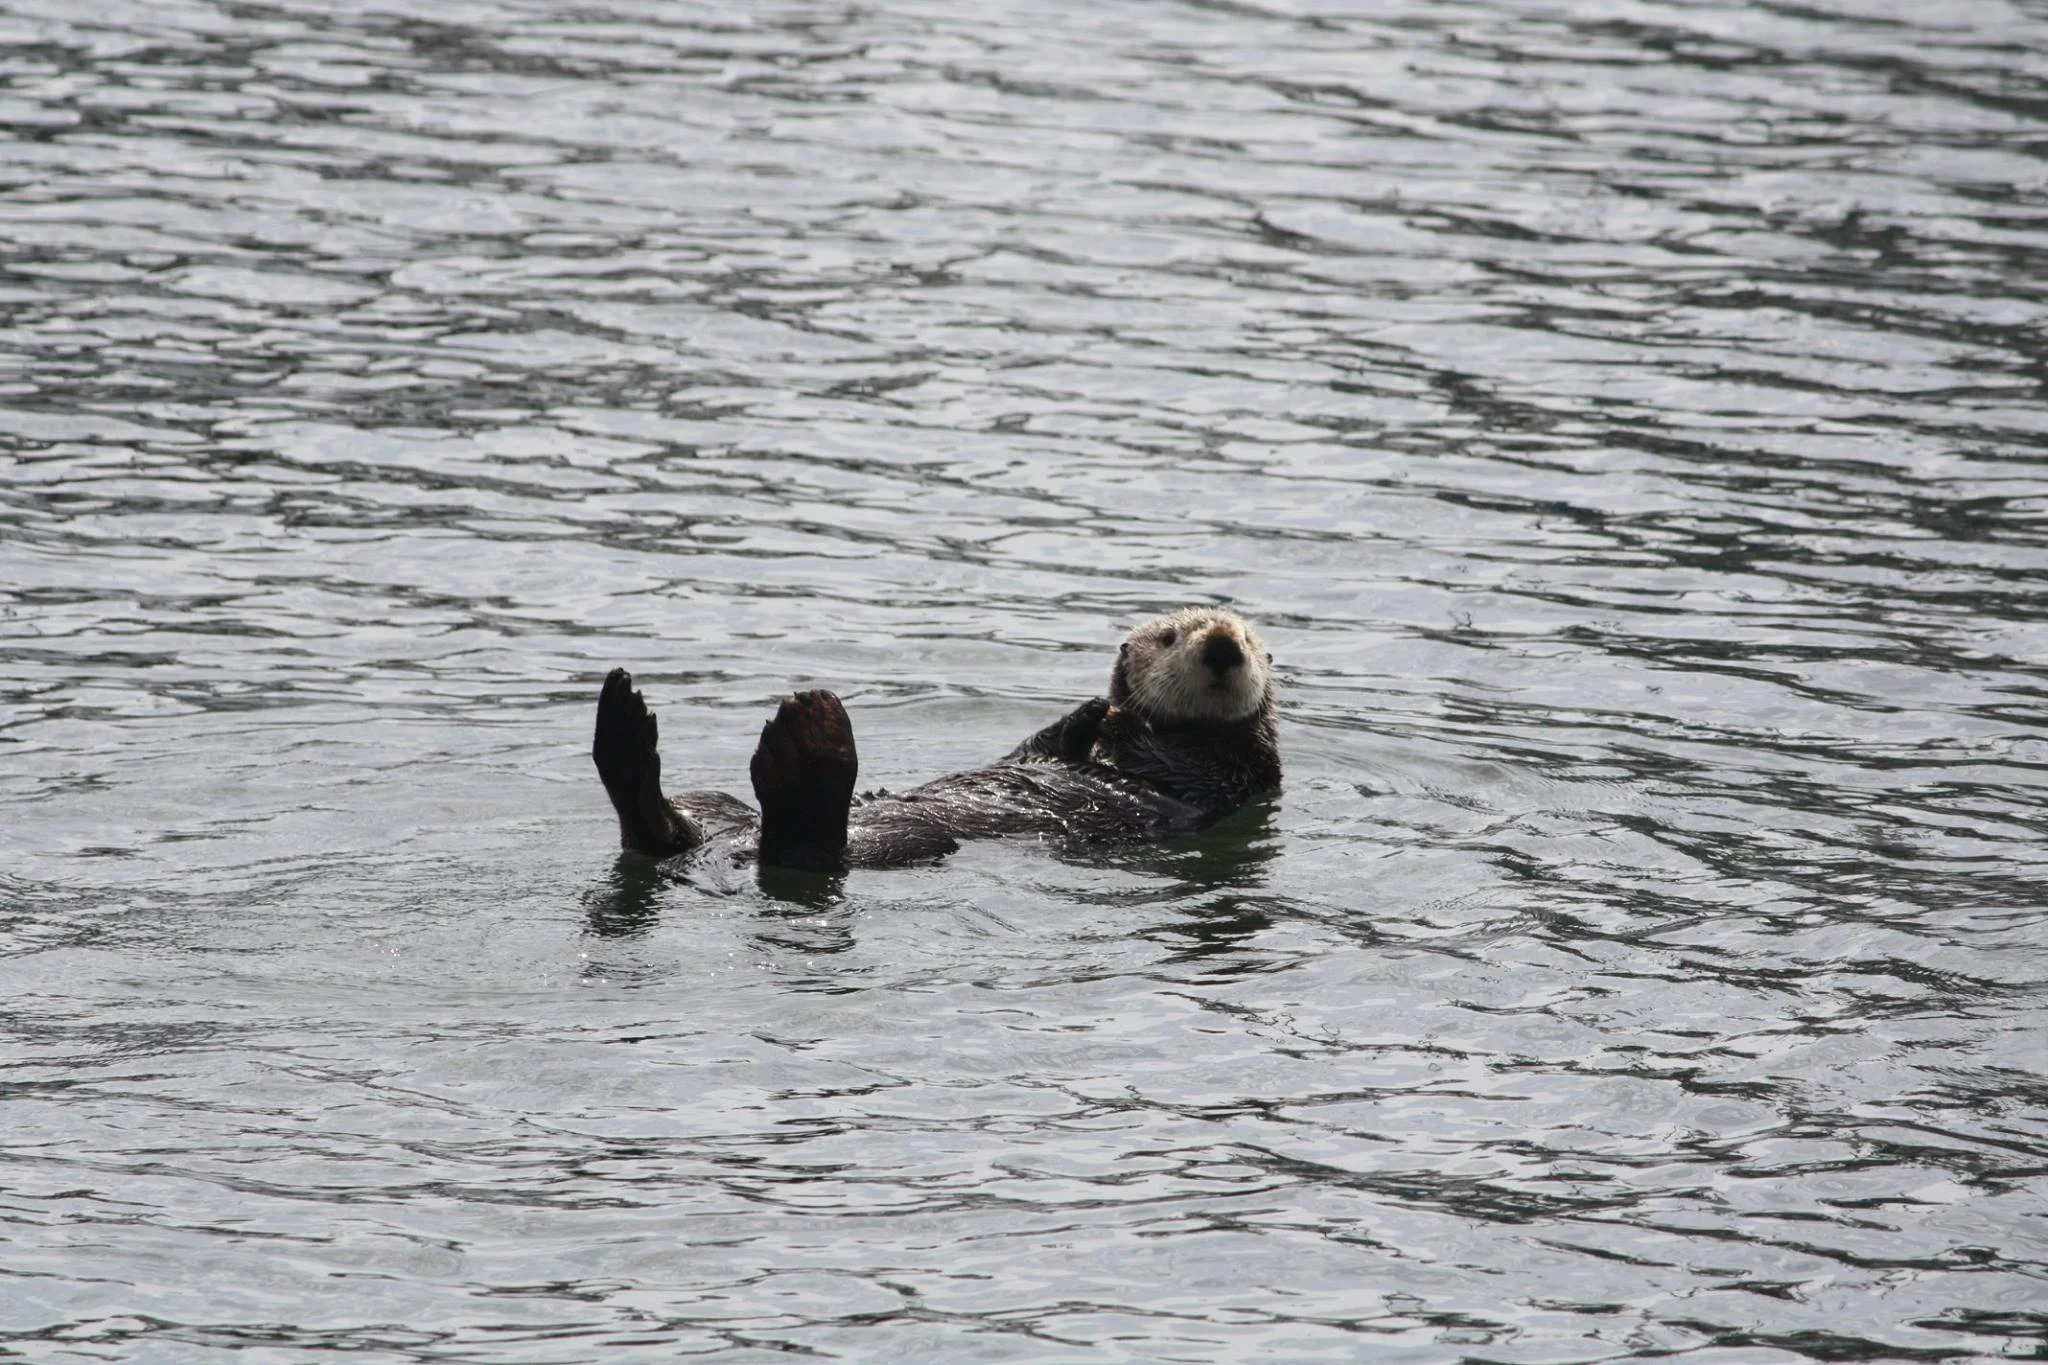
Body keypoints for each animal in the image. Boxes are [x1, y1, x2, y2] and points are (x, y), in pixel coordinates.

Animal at [591, 607, 1280, 876]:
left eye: (1248, 639)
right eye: (1169, 637)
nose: (1223, 645)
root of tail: (722, 851)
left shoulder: (1236, 775)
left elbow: (1181, 766)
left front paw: (1118, 720)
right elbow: (1036, 746)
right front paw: (1092, 712)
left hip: (906, 843)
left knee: (807, 848)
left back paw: (811, 741)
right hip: (713, 805)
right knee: (663, 822)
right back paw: (624, 725)